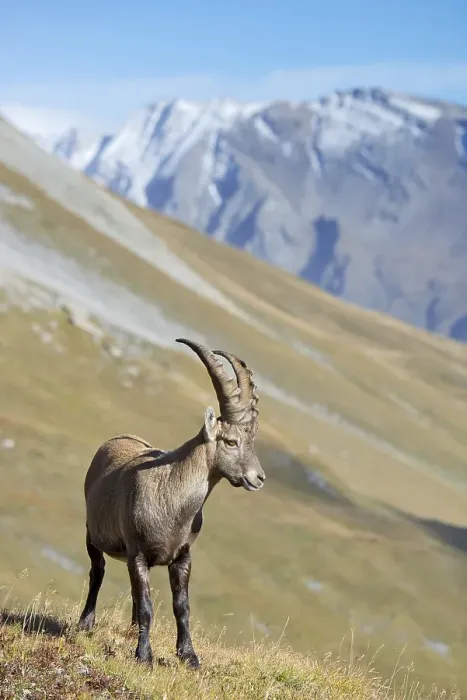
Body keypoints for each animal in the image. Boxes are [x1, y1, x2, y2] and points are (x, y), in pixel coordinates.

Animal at [77, 338, 265, 669]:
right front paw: (144, 656)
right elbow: (147, 606)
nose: (259, 478)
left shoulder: (182, 557)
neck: (174, 504)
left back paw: (130, 630)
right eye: (231, 442)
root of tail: (116, 438)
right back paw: (86, 623)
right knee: (97, 572)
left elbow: (181, 606)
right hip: (93, 535)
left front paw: (189, 656)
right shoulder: (138, 554)